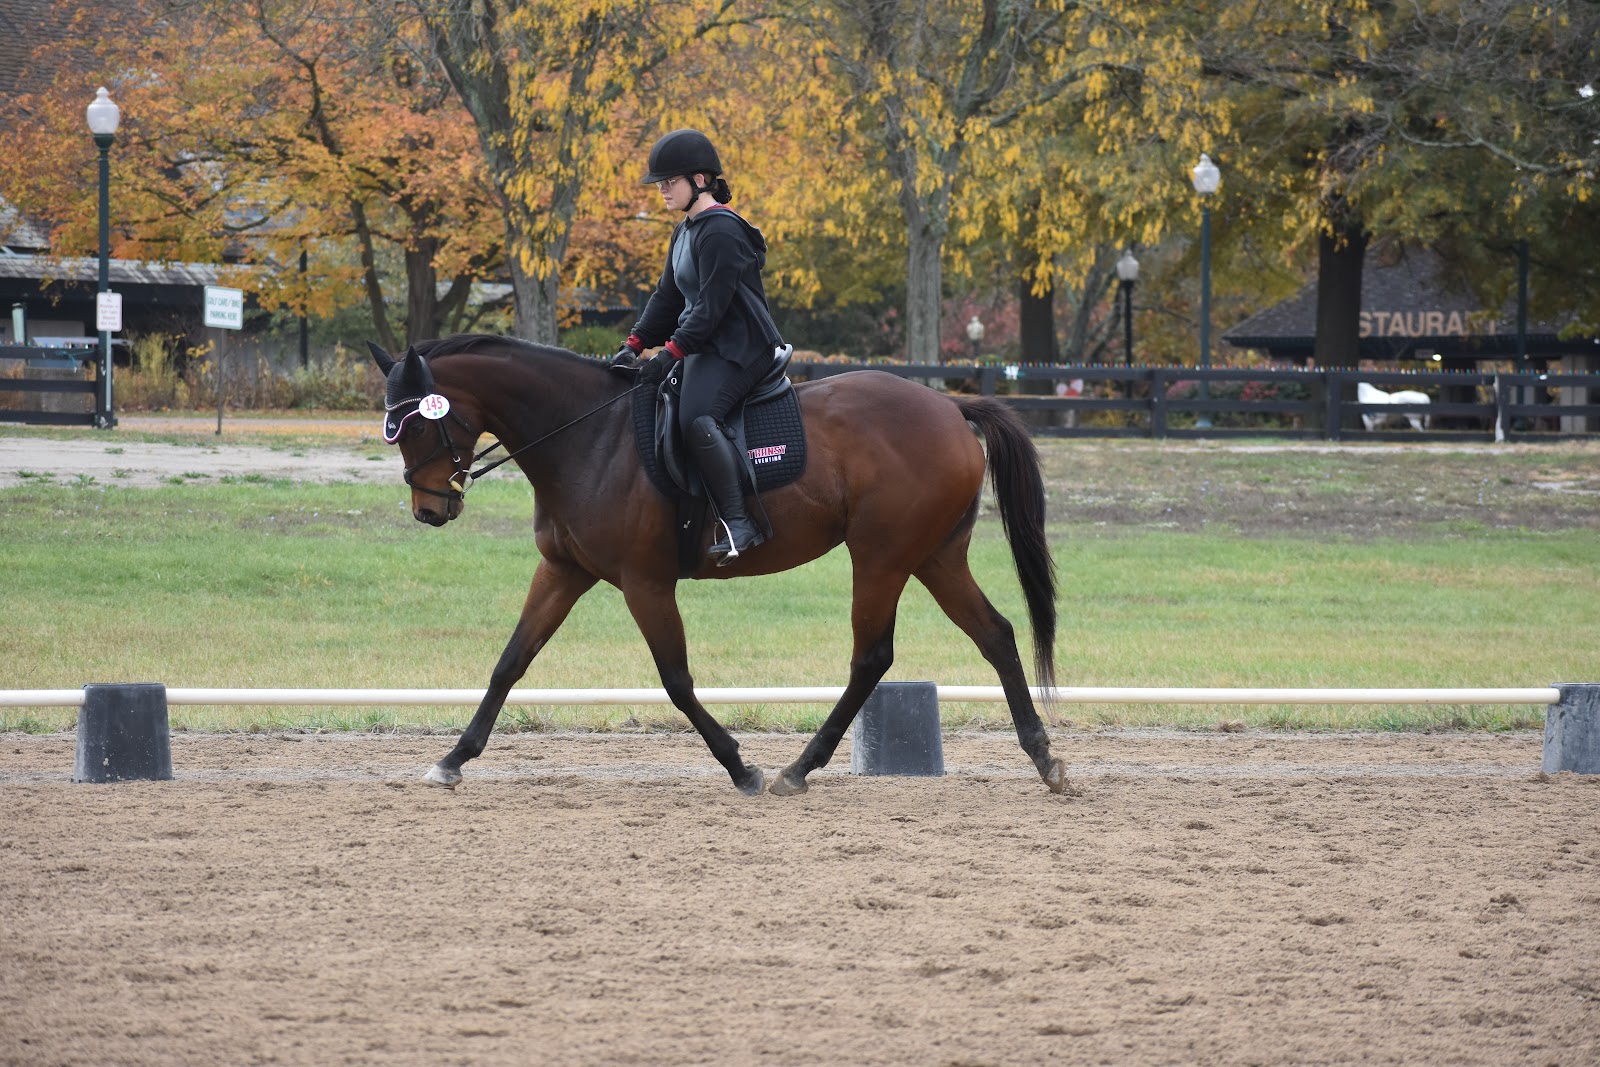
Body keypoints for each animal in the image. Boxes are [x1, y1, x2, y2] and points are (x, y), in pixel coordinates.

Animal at [369, 337, 1068, 796]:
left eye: (415, 426)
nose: (430, 509)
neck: (587, 437)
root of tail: (950, 408)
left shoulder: (645, 583)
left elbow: (676, 680)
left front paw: (740, 766)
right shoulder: (564, 571)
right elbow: (510, 662)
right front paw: (454, 759)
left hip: (881, 557)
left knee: (872, 656)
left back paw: (797, 769)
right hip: (932, 556)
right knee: (996, 634)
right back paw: (1044, 759)